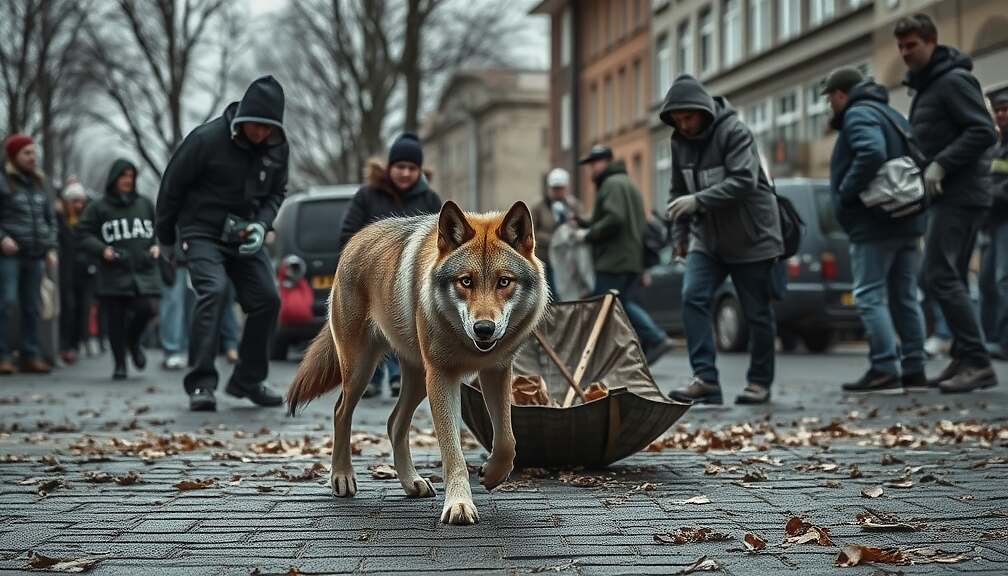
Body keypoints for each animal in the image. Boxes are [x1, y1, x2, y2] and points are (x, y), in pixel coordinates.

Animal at [286, 200, 548, 525]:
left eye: (504, 282)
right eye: (465, 281)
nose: (484, 329)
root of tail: (356, 238)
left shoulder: (497, 371)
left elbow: (507, 440)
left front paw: (492, 474)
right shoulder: (443, 377)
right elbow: (452, 451)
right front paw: (459, 505)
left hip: (417, 378)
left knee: (394, 422)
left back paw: (412, 482)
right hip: (363, 371)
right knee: (340, 412)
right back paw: (342, 478)